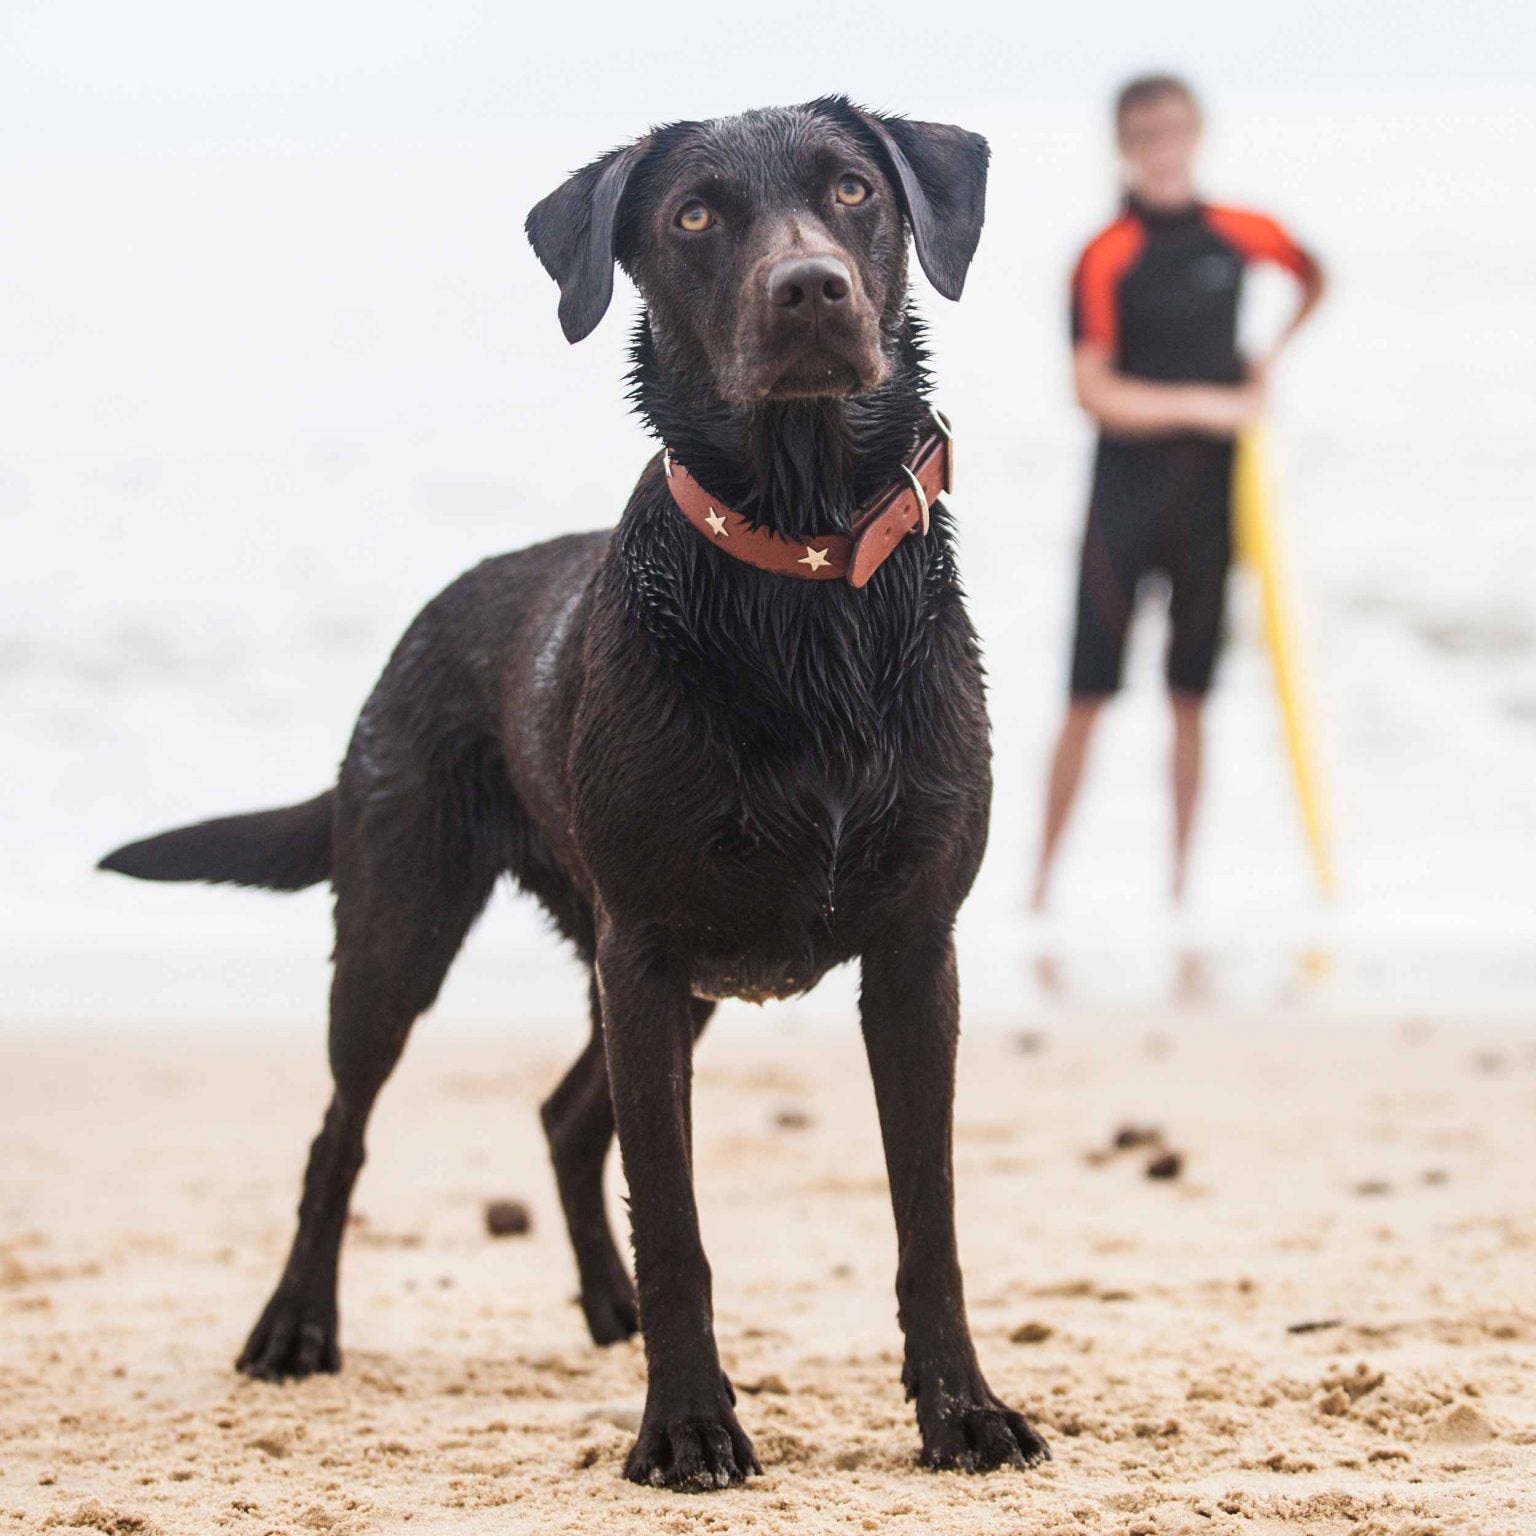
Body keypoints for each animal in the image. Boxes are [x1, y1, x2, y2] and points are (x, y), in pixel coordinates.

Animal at [102, 96, 1050, 1486]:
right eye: (695, 215)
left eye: (855, 190)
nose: (811, 290)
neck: (801, 569)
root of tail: (425, 621)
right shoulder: (646, 950)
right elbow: (676, 1219)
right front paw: (690, 1426)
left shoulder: (913, 953)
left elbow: (925, 1221)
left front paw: (962, 1412)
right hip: (406, 926)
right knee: (344, 1127)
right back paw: (296, 1326)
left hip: (660, 973)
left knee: (561, 1118)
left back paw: (606, 1313)